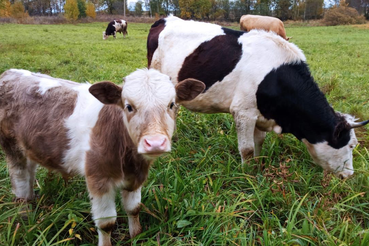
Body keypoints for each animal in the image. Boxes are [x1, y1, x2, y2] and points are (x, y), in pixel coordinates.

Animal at [0, 68, 204, 245]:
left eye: (171, 104)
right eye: (129, 106)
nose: (154, 142)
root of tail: (10, 72)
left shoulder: (136, 178)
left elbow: (134, 209)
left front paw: (136, 236)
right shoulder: (98, 179)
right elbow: (106, 223)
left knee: (30, 172)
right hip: (11, 146)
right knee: (19, 179)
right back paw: (24, 215)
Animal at [147, 15, 368, 179]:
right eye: (350, 145)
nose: (349, 175)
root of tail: (166, 18)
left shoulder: (261, 115)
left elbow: (258, 143)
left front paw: (257, 166)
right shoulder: (243, 111)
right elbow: (246, 148)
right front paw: (247, 175)